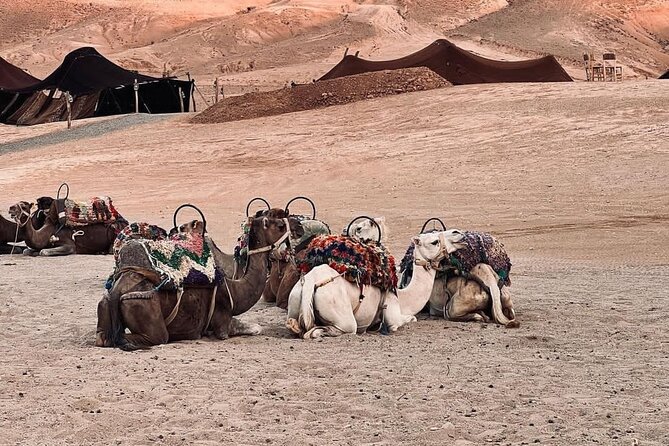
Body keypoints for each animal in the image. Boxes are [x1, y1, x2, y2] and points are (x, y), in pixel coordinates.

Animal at [95, 213, 304, 352]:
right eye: (279, 225)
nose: (299, 226)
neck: (235, 288)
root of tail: (116, 290)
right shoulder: (222, 323)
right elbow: (252, 328)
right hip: (143, 306)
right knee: (150, 337)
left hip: (104, 305)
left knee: (103, 339)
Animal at [286, 230, 464, 338]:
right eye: (434, 242)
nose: (458, 233)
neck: (403, 298)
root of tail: (310, 281)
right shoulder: (392, 313)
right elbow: (410, 319)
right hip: (342, 317)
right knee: (325, 331)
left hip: (294, 298)